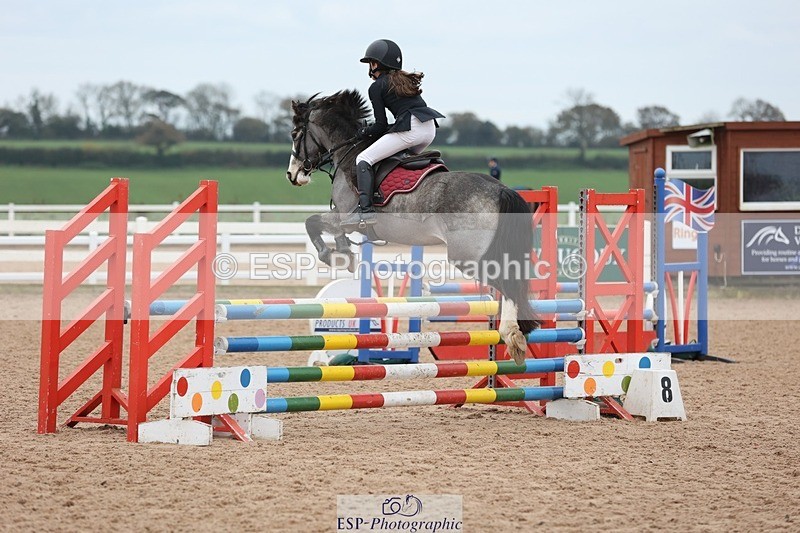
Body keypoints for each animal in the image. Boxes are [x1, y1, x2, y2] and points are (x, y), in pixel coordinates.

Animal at [285, 90, 540, 364]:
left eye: (295, 134)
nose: (292, 175)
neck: (349, 154)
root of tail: (500, 190)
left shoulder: (345, 216)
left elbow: (312, 223)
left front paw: (333, 256)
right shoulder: (344, 219)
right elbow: (329, 230)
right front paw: (344, 254)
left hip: (468, 257)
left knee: (507, 281)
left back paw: (511, 333)